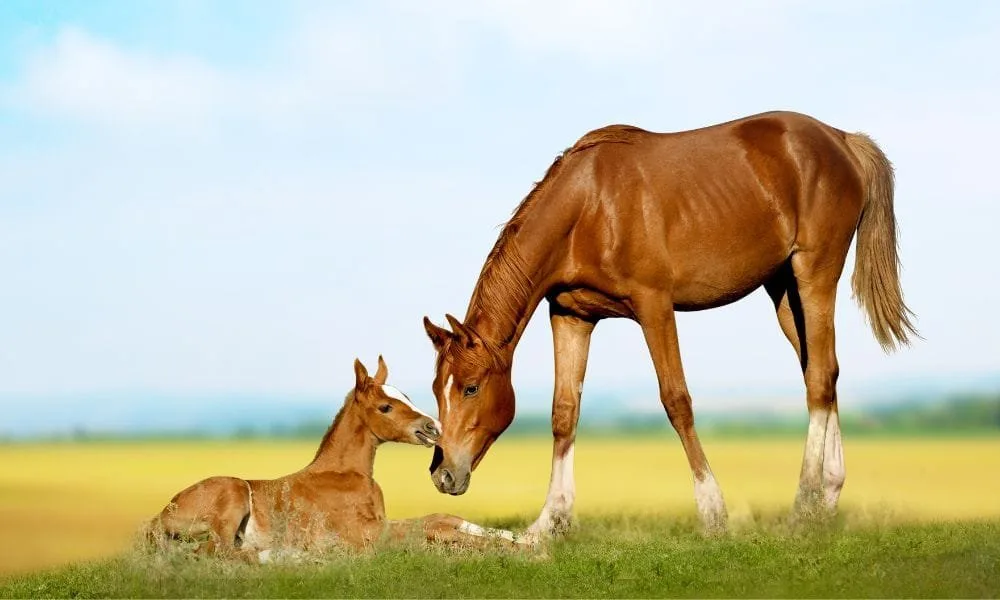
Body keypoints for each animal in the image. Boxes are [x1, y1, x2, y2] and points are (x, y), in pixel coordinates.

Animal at [148, 357, 526, 560]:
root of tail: (158, 518)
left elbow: (442, 517)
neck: (344, 476)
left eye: (405, 394)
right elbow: (434, 527)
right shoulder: (368, 535)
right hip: (233, 493)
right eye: (385, 406)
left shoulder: (381, 523)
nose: (433, 427)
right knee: (219, 552)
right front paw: (520, 550)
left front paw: (523, 540)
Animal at [422, 110, 918, 536]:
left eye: (470, 388)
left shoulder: (654, 306)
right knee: (824, 373)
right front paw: (549, 521)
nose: (443, 473)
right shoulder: (571, 315)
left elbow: (676, 400)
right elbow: (565, 411)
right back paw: (827, 498)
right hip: (783, 290)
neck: (589, 207)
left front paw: (713, 511)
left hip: (814, 272)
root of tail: (841, 139)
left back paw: (803, 504)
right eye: (436, 389)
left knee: (818, 378)